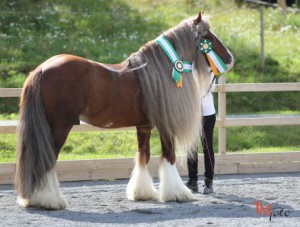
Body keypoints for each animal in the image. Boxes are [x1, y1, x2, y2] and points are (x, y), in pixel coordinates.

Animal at [14, 12, 234, 209]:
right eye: (207, 37)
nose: (230, 59)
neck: (163, 70)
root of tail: (41, 69)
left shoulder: (144, 126)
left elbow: (143, 156)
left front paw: (142, 193)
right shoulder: (165, 127)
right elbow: (169, 156)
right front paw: (177, 194)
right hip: (60, 127)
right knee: (48, 160)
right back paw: (50, 200)